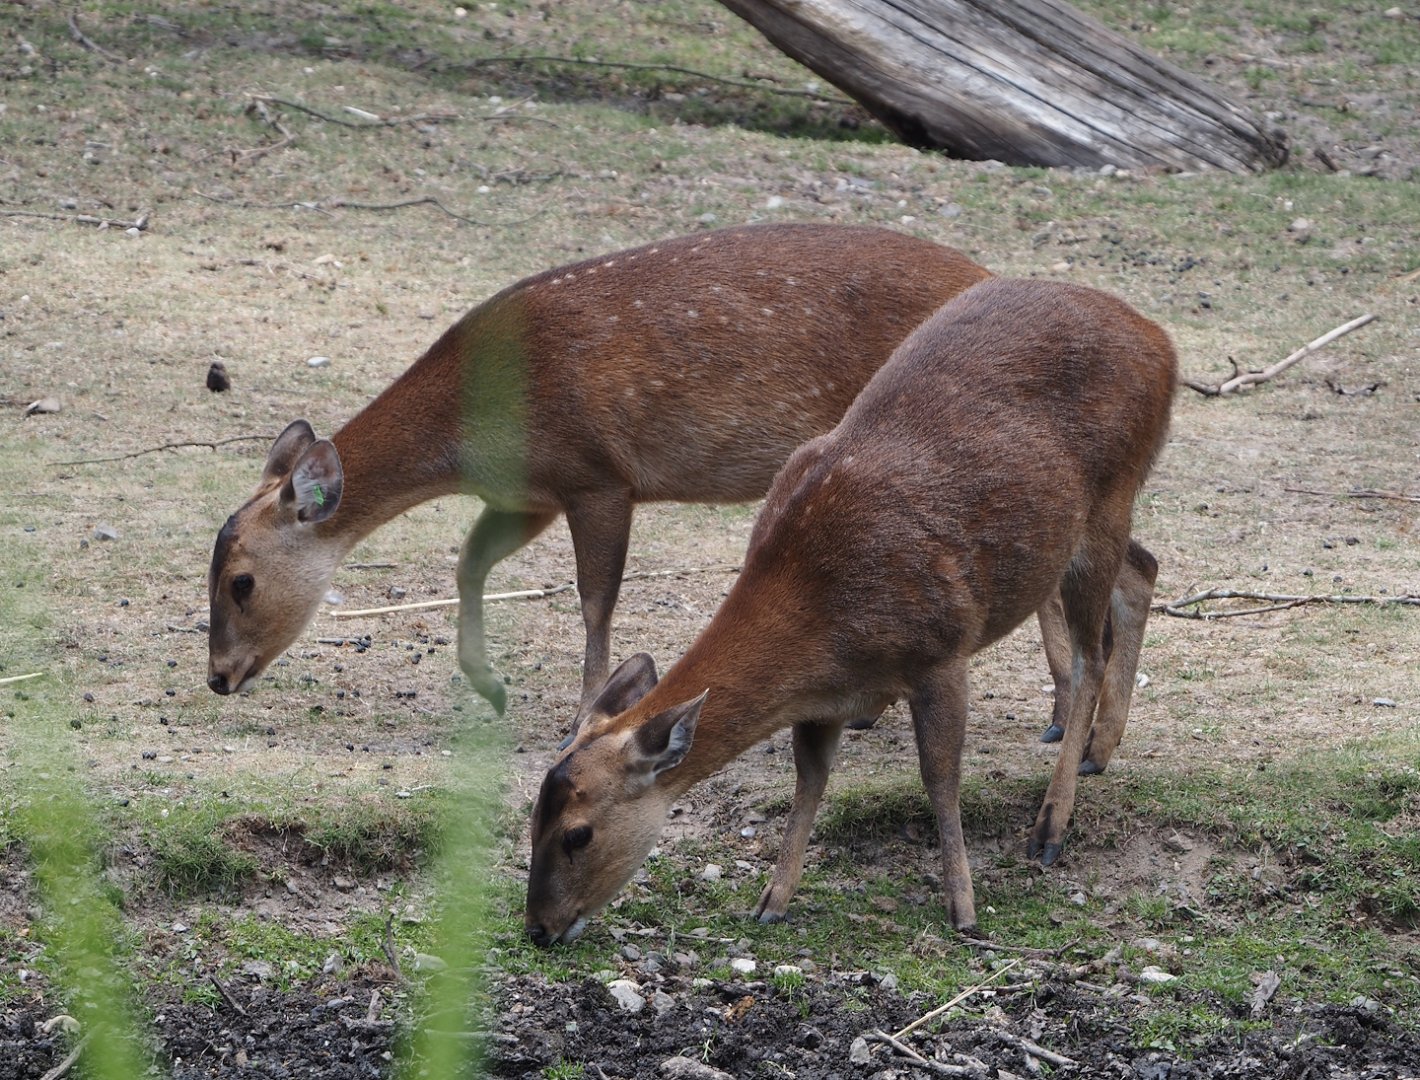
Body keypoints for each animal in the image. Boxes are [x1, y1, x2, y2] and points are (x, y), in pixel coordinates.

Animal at [206, 224, 1153, 755]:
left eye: (241, 581)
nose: (217, 677)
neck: (478, 427)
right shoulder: (530, 492)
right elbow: (469, 564)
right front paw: (490, 685)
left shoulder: (598, 472)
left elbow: (595, 601)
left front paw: (576, 715)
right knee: (1129, 558)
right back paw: (1068, 724)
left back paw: (1072, 727)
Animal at [524, 277, 1177, 946]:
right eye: (531, 819)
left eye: (578, 833)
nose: (538, 929)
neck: (828, 626)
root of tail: (1161, 342)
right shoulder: (823, 701)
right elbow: (809, 778)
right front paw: (772, 900)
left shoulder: (942, 648)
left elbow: (940, 776)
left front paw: (964, 909)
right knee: (1143, 568)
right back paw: (1101, 750)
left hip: (1109, 498)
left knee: (1092, 650)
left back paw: (1050, 825)